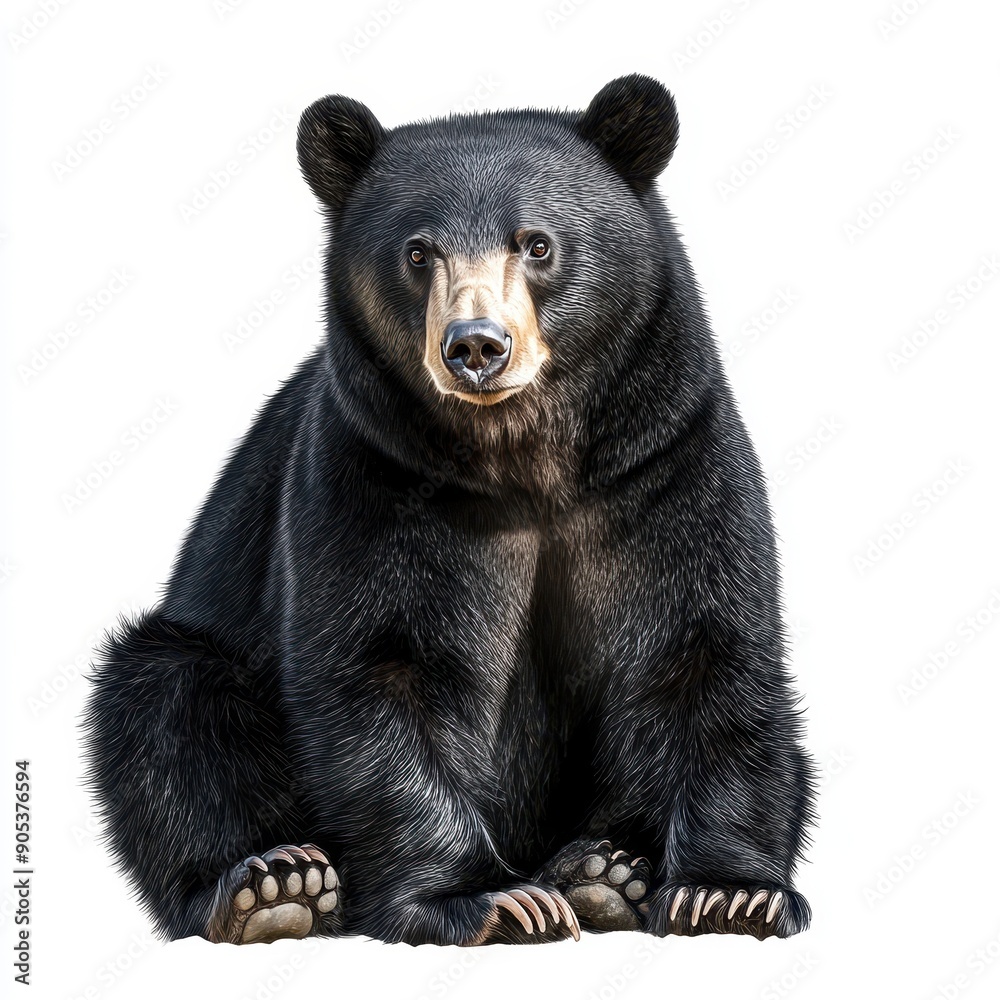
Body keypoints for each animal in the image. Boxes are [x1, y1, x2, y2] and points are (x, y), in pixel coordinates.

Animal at [82, 74, 815, 947]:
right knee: (166, 707)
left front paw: (729, 894)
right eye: (417, 251)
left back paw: (603, 872)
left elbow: (702, 649)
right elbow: (384, 666)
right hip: (200, 651)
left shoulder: (665, 464)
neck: (523, 459)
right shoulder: (372, 478)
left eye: (537, 244)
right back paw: (272, 888)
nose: (476, 346)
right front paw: (489, 900)